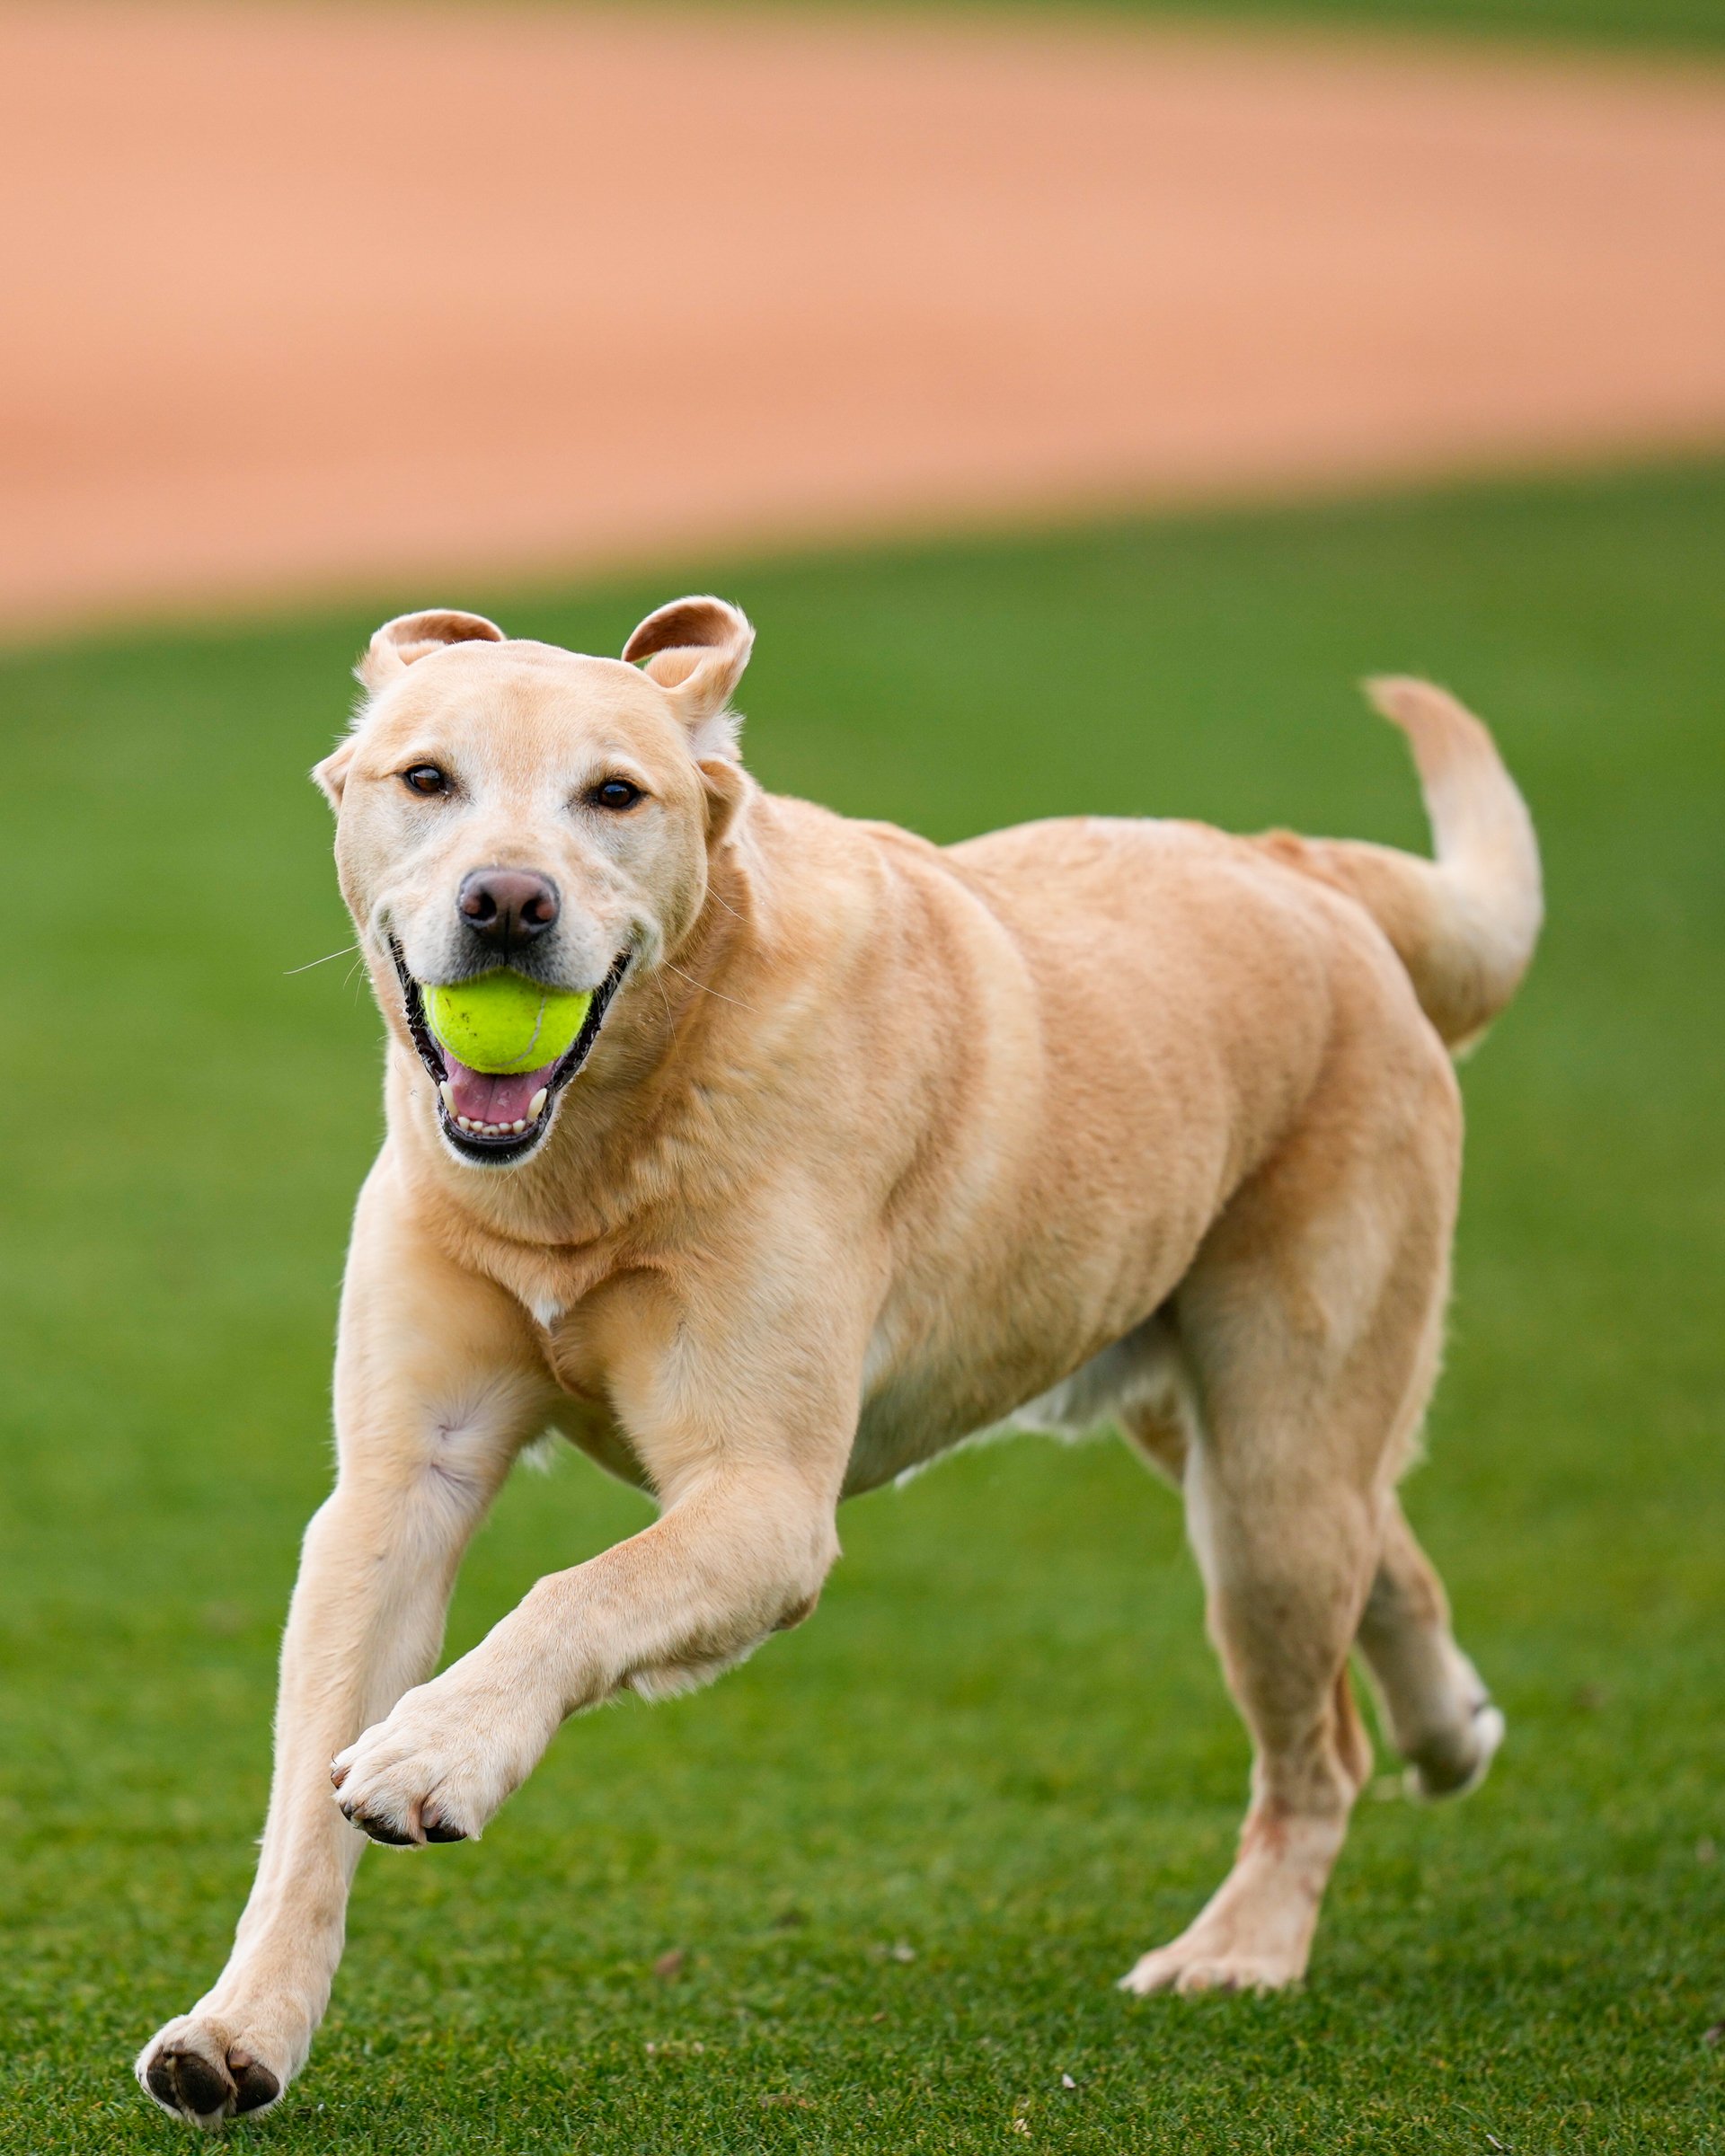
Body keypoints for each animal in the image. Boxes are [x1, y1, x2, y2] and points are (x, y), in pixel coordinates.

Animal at [135, 604, 1535, 2121]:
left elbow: (573, 1596)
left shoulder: (764, 1500)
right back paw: (1451, 1727)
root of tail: (1294, 864)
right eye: (427, 778)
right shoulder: (400, 1484)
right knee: (1382, 1552)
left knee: (1317, 1743)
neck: (591, 1164)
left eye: (614, 795)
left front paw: (437, 1750)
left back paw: (1243, 1949)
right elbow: (303, 1806)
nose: (508, 904)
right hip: (1209, 1426)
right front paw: (242, 2027)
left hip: (1269, 1471)